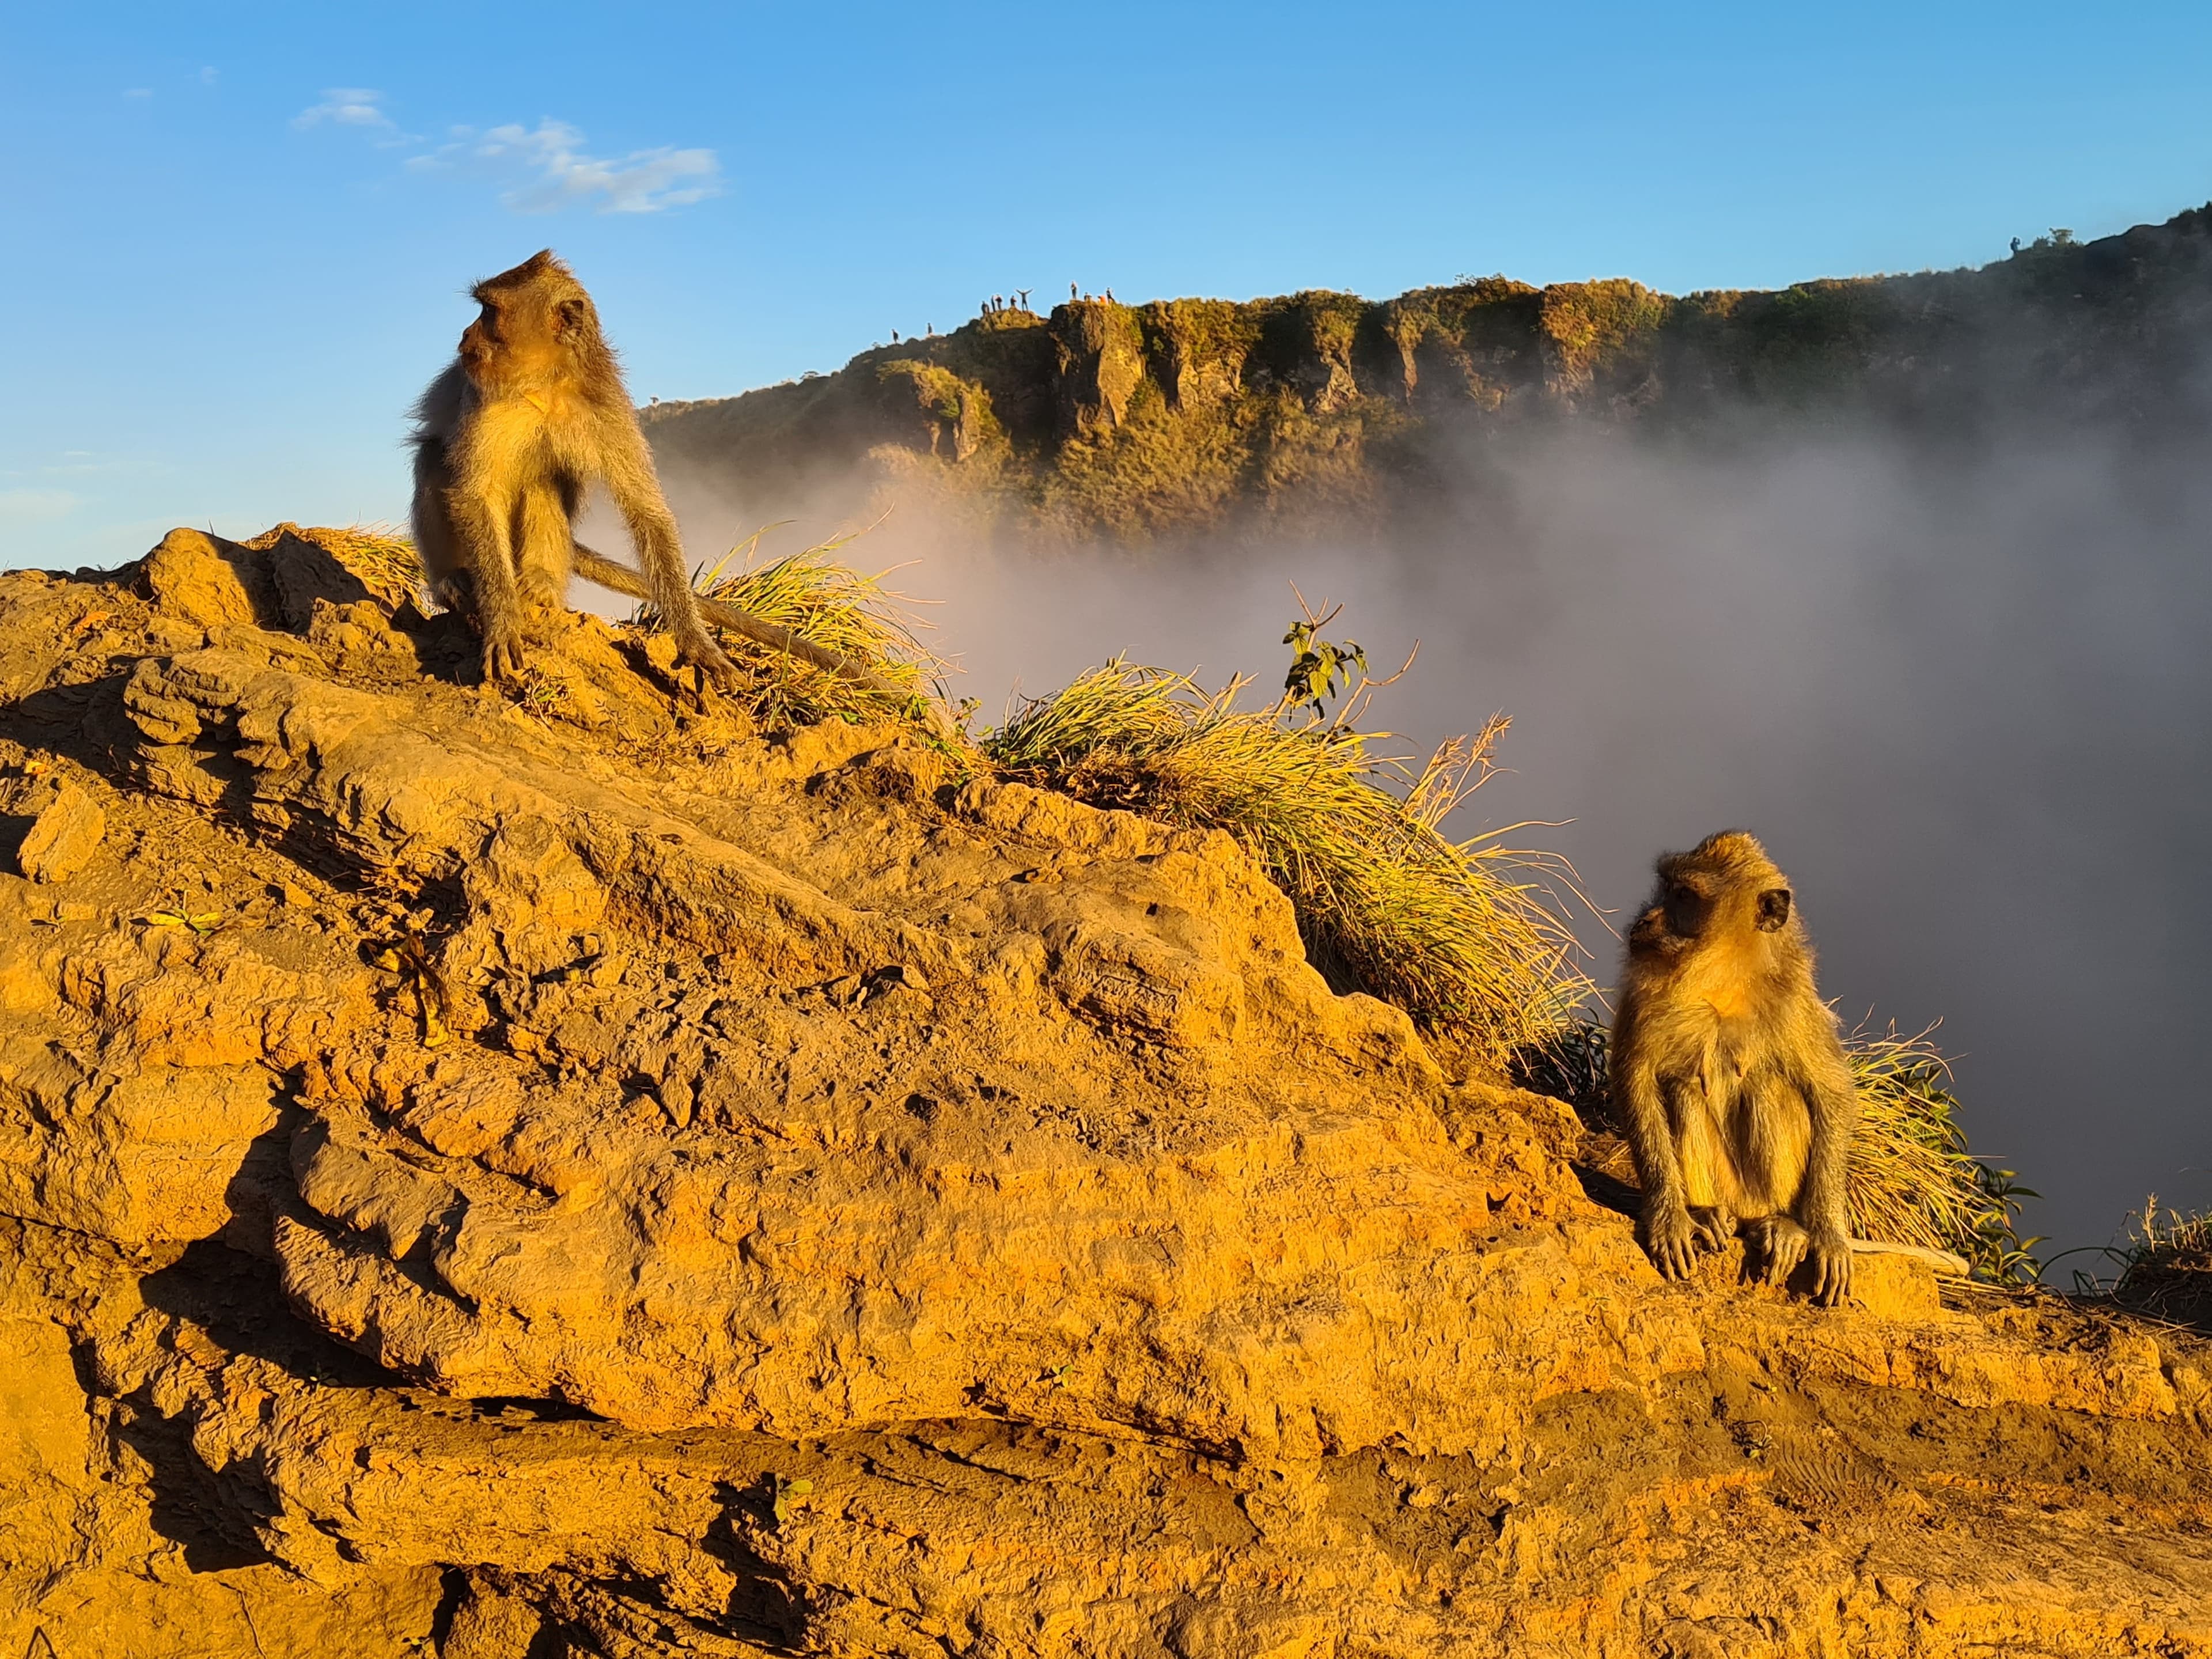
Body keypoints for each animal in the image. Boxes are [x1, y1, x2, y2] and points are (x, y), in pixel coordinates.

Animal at [407, 253, 907, 707]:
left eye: (489, 313)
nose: (465, 336)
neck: (546, 384)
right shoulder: (483, 402)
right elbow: (472, 494)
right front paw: (502, 618)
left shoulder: (607, 408)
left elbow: (645, 510)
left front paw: (695, 641)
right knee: (434, 458)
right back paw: (455, 581)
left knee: (545, 481)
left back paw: (540, 585)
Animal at [1601, 831, 1858, 1309]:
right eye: (1666, 888)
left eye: (1685, 896)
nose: (1646, 919)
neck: (1721, 977)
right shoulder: (1645, 992)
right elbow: (1636, 1077)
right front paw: (1669, 1217)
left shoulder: (1793, 998)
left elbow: (1831, 1091)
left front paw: (1828, 1234)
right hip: (1724, 1188)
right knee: (1683, 1088)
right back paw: (1704, 1213)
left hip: (1759, 1193)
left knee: (1772, 1087)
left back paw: (1781, 1224)